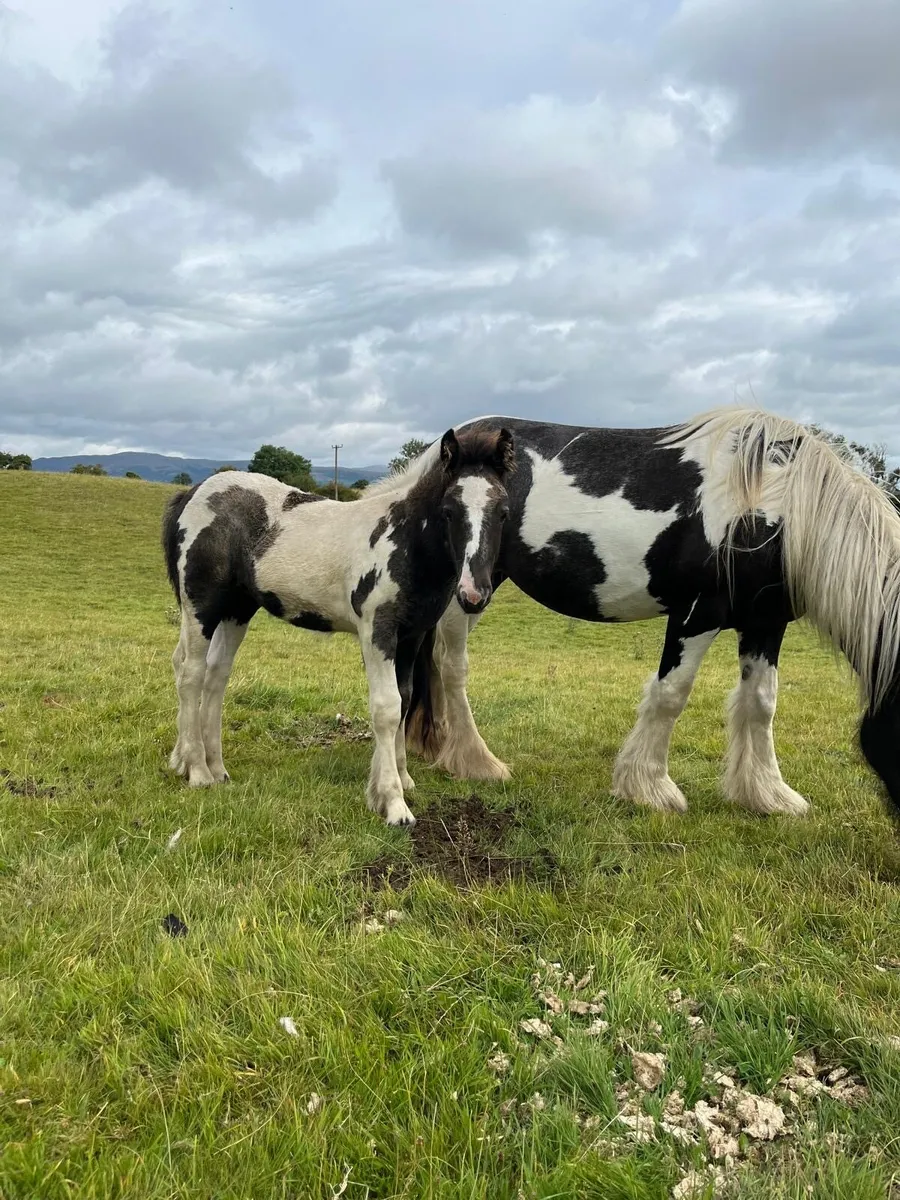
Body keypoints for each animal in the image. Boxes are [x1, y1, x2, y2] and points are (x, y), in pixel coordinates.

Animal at [161, 426, 515, 826]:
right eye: (450, 510)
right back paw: (196, 770)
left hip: (237, 610)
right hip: (201, 607)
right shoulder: (377, 630)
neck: (403, 540)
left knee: (215, 674)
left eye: (503, 512)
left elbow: (405, 698)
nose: (474, 594)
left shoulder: (411, 636)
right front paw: (393, 803)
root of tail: (193, 493)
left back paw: (216, 767)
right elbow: (387, 707)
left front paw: (402, 778)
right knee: (190, 673)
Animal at [402, 405, 900, 821]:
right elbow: (670, 695)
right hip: (465, 591)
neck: (772, 506)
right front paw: (649, 788)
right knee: (452, 666)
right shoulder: (696, 615)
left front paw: (767, 795)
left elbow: (761, 703)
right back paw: (475, 762)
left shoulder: (764, 622)